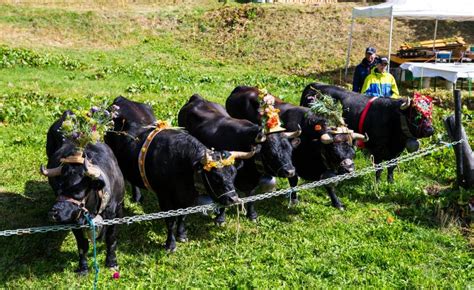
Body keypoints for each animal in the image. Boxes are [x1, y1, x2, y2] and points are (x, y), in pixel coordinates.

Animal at [41, 111, 126, 274]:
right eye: (57, 188)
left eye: (78, 191)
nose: (53, 213)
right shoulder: (74, 220)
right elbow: (82, 245)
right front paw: (83, 268)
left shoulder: (117, 211)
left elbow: (111, 239)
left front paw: (111, 262)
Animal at [104, 97, 252, 251]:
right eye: (215, 177)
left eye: (233, 174)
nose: (233, 199)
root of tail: (121, 99)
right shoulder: (164, 197)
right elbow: (171, 220)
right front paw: (170, 244)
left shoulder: (186, 197)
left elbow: (182, 216)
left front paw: (182, 234)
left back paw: (137, 197)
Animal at [226, 85, 366, 210]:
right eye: (333, 151)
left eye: (352, 150)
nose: (349, 168)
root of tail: (239, 88)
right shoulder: (292, 165)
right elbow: (293, 181)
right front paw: (293, 200)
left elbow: (329, 185)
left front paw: (337, 203)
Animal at [302, 81, 436, 181]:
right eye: (416, 114)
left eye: (429, 114)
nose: (430, 129)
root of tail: (313, 85)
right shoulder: (377, 149)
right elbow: (378, 168)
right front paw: (378, 183)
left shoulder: (397, 151)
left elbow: (391, 167)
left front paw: (390, 182)